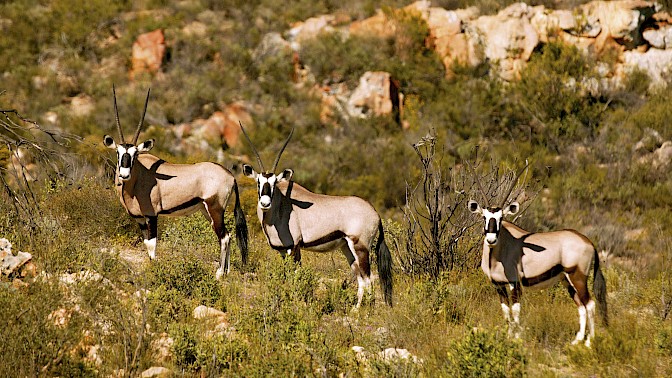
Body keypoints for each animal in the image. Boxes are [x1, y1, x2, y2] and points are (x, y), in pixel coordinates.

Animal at [103, 86, 251, 278]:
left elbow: (152, 244)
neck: (138, 179)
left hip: (215, 209)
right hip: (206, 210)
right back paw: (226, 272)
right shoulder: (140, 219)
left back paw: (219, 274)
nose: (124, 174)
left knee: (224, 236)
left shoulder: (152, 216)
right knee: (227, 236)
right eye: (118, 153)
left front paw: (154, 270)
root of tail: (230, 176)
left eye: (135, 154)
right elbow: (146, 244)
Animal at [240, 124, 392, 308]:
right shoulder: (283, 251)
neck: (281, 206)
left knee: (368, 279)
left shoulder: (294, 247)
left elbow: (295, 276)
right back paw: (355, 309)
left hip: (360, 247)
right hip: (347, 248)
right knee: (361, 279)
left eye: (275, 183)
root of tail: (375, 213)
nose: (265, 203)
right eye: (258, 183)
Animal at [468, 168, 608, 346]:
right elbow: (506, 311)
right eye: (484, 217)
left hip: (578, 277)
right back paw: (577, 341)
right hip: (567, 280)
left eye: (501, 218)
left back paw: (590, 342)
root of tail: (589, 242)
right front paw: (508, 337)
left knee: (590, 304)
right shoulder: (498, 284)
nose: (491, 240)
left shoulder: (514, 283)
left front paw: (516, 339)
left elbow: (515, 310)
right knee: (581, 306)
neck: (498, 254)